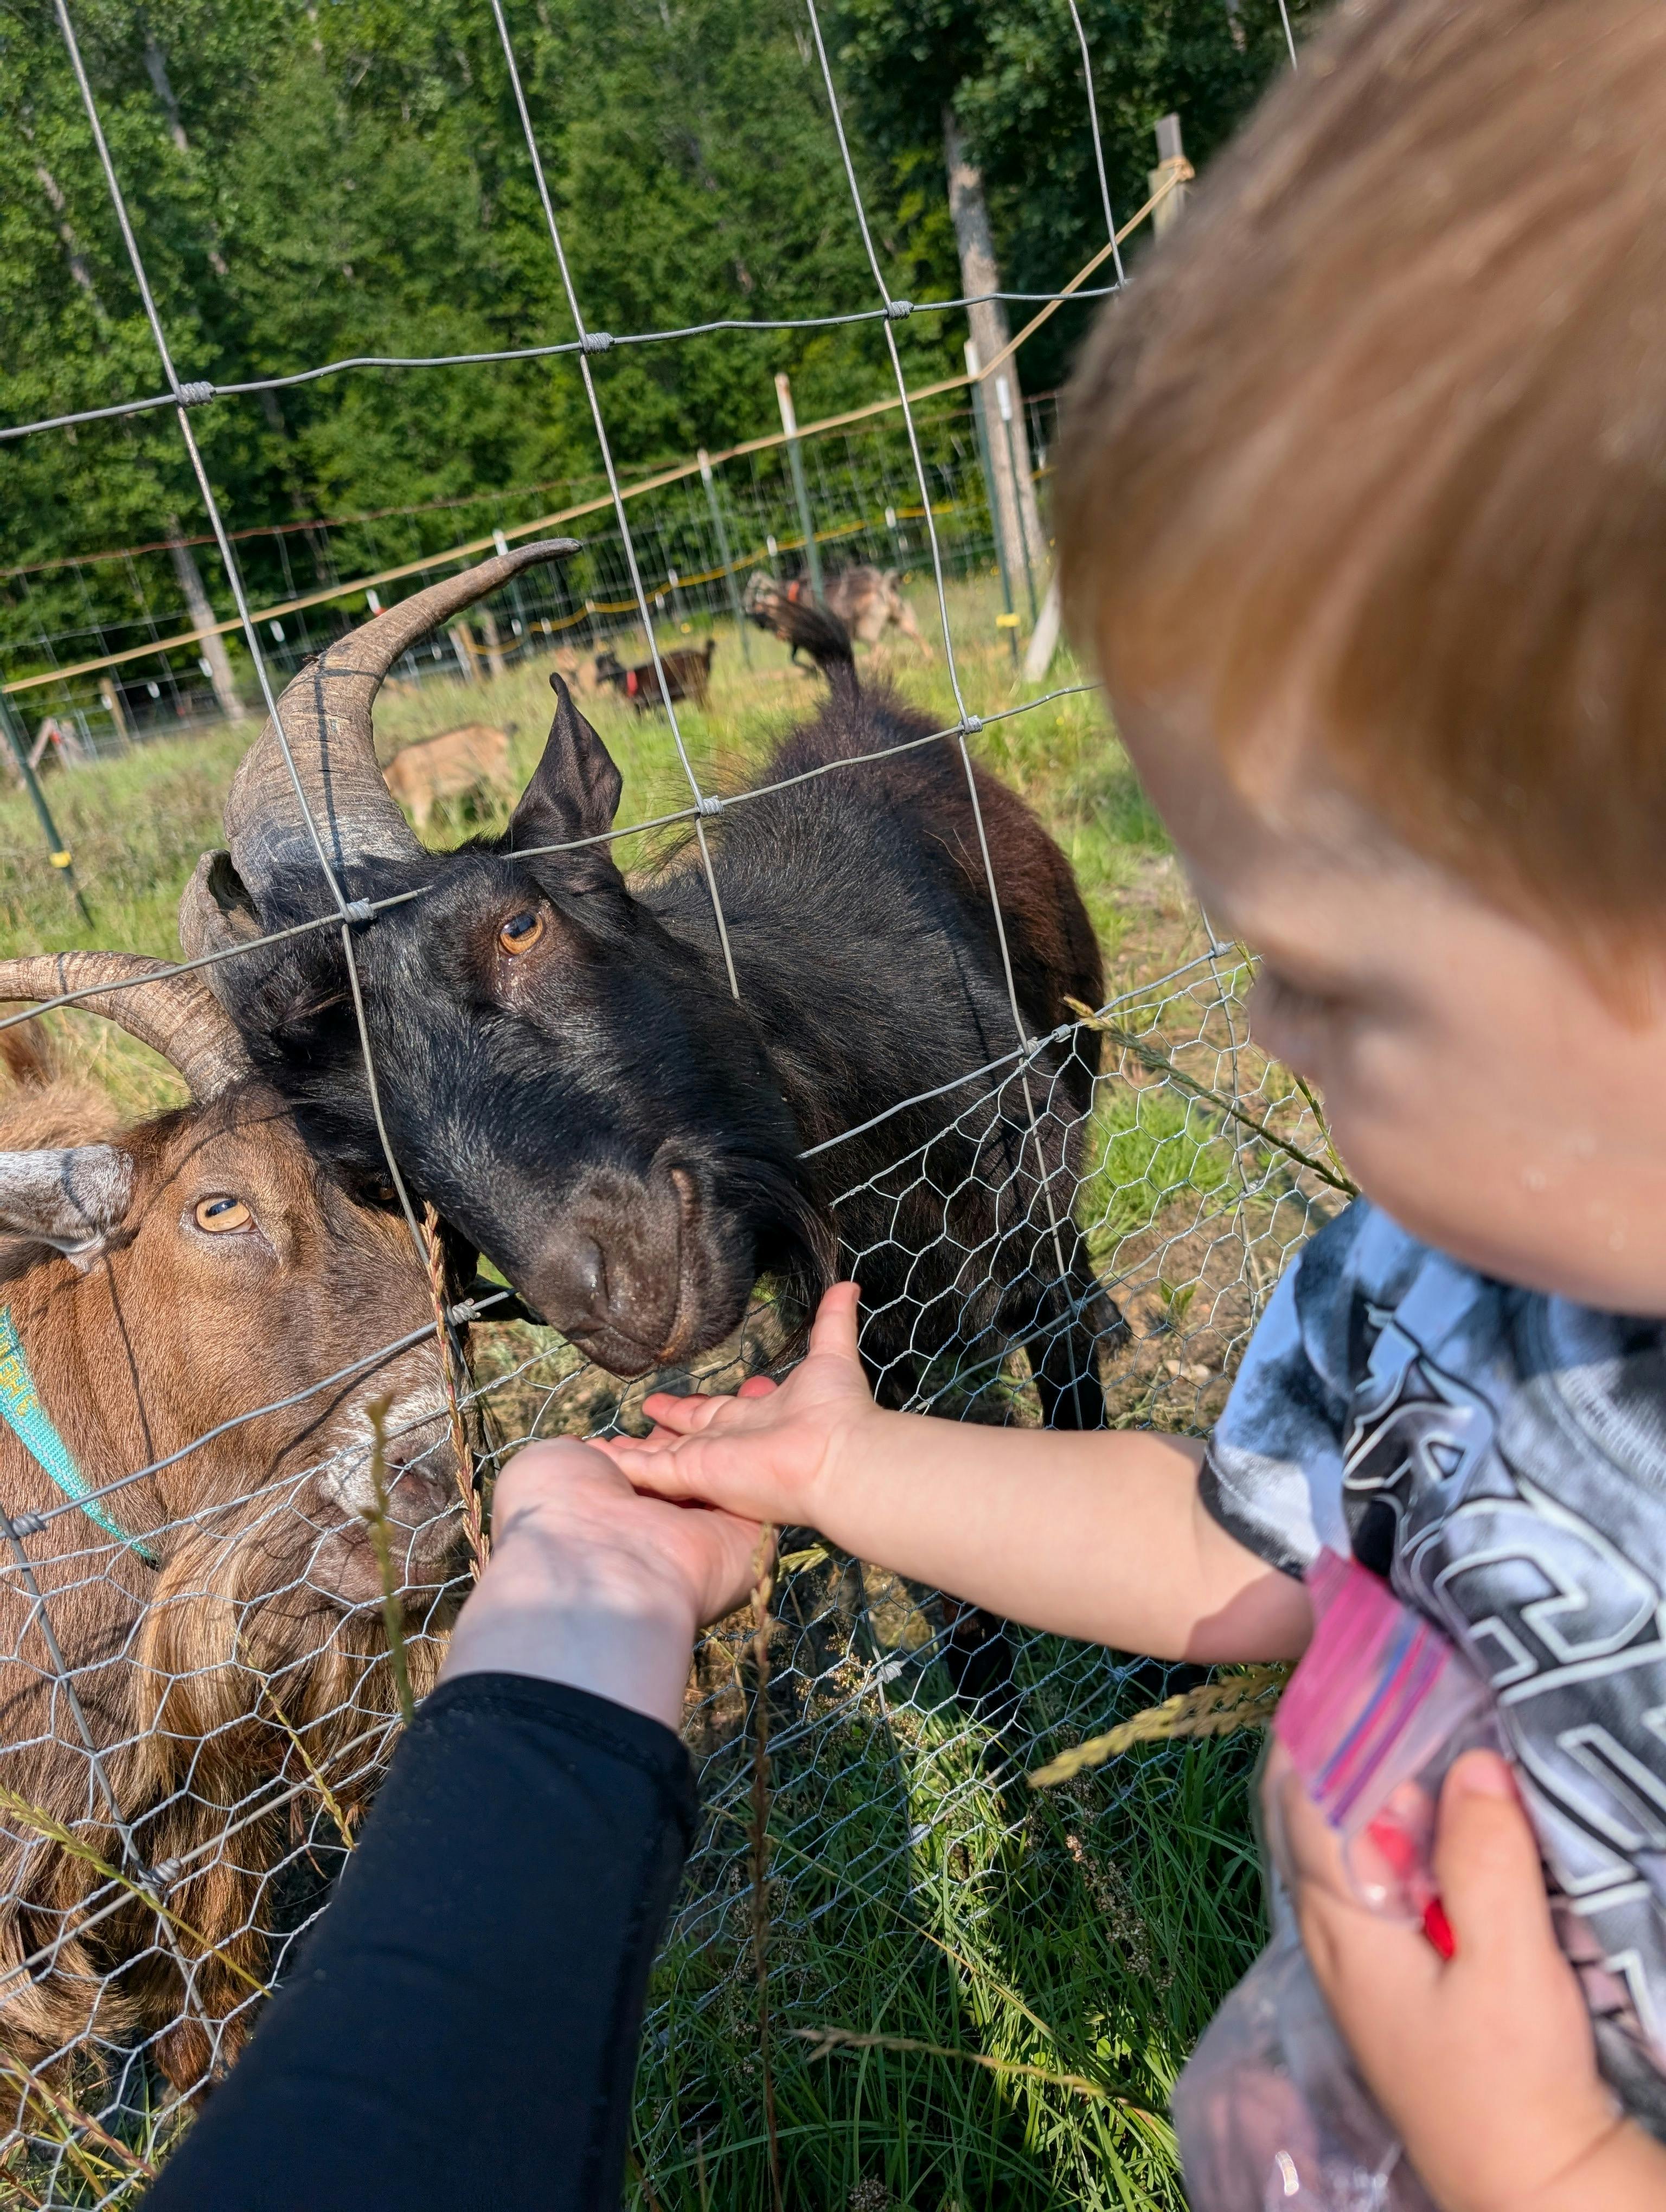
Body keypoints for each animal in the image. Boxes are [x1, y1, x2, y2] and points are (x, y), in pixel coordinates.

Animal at [381, 723, 512, 837]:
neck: (397, 775)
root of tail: (499, 735)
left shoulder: (422, 797)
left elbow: (421, 824)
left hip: (496, 771)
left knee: (510, 794)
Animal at [593, 638, 715, 713]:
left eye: (609, 663)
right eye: (597, 666)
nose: (597, 680)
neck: (629, 679)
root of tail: (704, 655)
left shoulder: (653, 702)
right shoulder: (640, 708)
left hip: (696, 687)